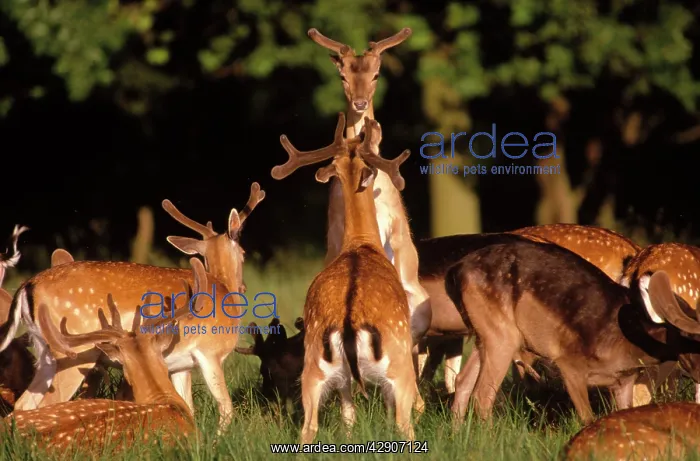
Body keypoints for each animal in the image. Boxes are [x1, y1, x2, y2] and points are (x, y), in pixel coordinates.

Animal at [0, 184, 265, 431]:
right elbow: (226, 408)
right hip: (74, 353)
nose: (243, 286)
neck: (223, 288)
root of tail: (28, 285)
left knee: (22, 404)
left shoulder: (180, 366)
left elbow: (188, 406)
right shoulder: (211, 353)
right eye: (244, 252)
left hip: (45, 354)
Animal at [273, 113, 418, 443]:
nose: (370, 125)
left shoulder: (343, 381)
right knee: (404, 425)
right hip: (400, 362)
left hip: (313, 366)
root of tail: (350, 324)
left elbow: (348, 417)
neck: (361, 243)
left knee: (308, 428)